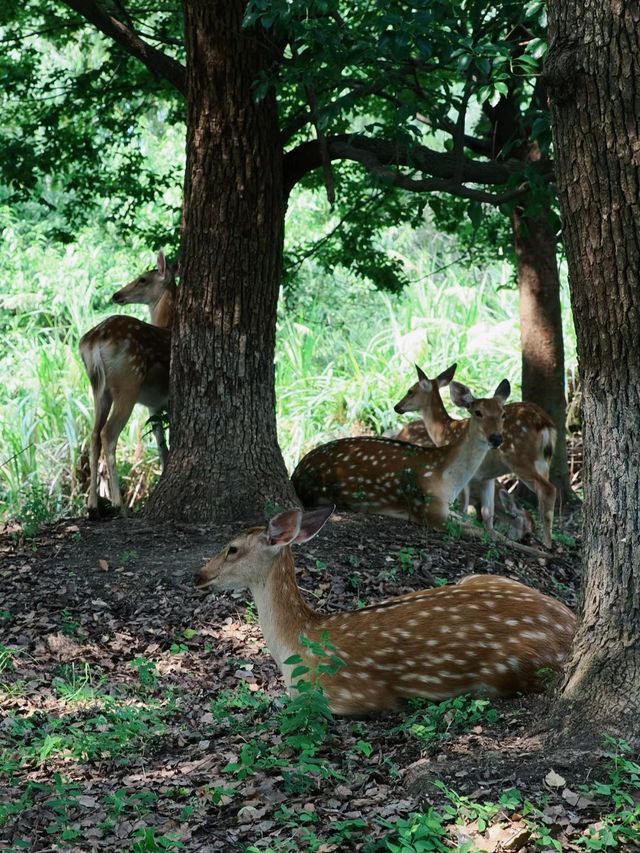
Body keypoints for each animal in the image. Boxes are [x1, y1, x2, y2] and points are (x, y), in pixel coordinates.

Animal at [79, 250, 178, 516]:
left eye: (143, 279)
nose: (117, 294)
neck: (168, 325)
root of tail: (95, 339)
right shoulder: (166, 400)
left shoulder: (154, 405)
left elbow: (162, 445)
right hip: (128, 383)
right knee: (108, 433)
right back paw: (119, 505)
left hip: (98, 388)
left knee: (94, 434)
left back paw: (93, 506)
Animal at [194, 502, 576, 716]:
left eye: (232, 548)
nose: (200, 576)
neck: (298, 648)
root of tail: (571, 624)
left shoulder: (348, 696)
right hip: (479, 576)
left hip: (508, 671)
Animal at [292, 376, 512, 528]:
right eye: (478, 412)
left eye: (503, 414)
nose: (496, 438)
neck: (447, 479)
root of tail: (296, 472)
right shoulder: (430, 509)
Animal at [392, 362, 556, 544]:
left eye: (410, 391)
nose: (397, 407)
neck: (444, 432)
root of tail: (545, 423)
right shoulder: (485, 476)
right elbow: (487, 515)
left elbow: (463, 507)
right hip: (544, 463)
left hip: (519, 457)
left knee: (548, 489)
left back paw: (547, 543)